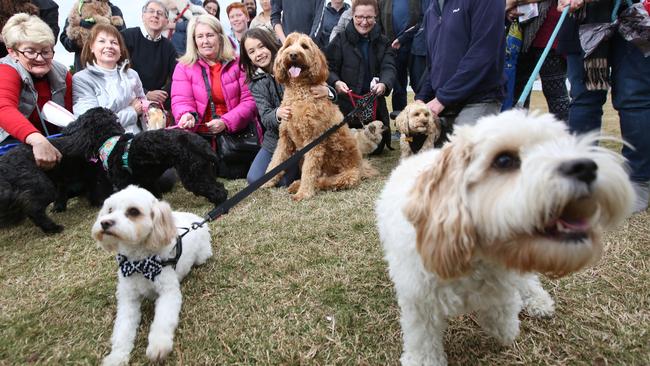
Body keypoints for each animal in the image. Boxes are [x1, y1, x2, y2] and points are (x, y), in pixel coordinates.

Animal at [0, 107, 228, 233]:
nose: (67, 128)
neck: (112, 142)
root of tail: (200, 142)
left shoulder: (122, 182)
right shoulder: (147, 182)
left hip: (193, 173)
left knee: (217, 190)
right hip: (201, 169)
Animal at [91, 186, 211, 366]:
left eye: (133, 211)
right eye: (110, 210)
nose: (105, 223)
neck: (139, 263)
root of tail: (197, 220)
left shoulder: (168, 292)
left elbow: (163, 320)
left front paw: (158, 347)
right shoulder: (128, 299)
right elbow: (122, 329)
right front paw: (117, 356)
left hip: (202, 256)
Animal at [374, 110, 632, 364]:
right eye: (504, 161)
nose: (586, 167)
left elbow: (502, 309)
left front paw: (506, 324)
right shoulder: (420, 302)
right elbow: (423, 340)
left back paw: (538, 301)